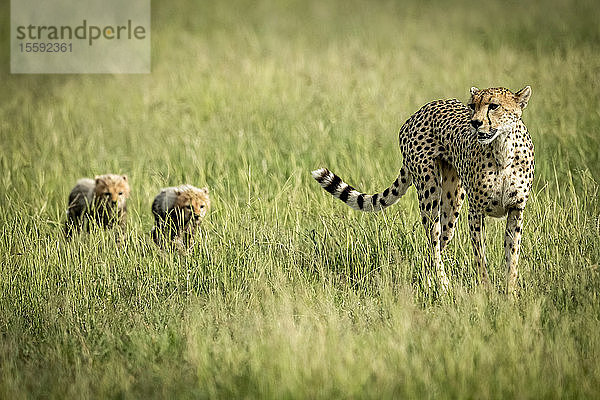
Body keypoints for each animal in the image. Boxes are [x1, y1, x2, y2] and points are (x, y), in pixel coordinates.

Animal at [312, 86, 532, 294]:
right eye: (472, 106)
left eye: (493, 106)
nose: (475, 123)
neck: (503, 150)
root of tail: (423, 109)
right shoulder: (476, 212)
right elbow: (480, 256)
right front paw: (486, 291)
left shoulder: (516, 210)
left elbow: (512, 256)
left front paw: (510, 294)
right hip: (430, 192)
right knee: (433, 243)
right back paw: (443, 286)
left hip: (453, 201)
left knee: (439, 243)